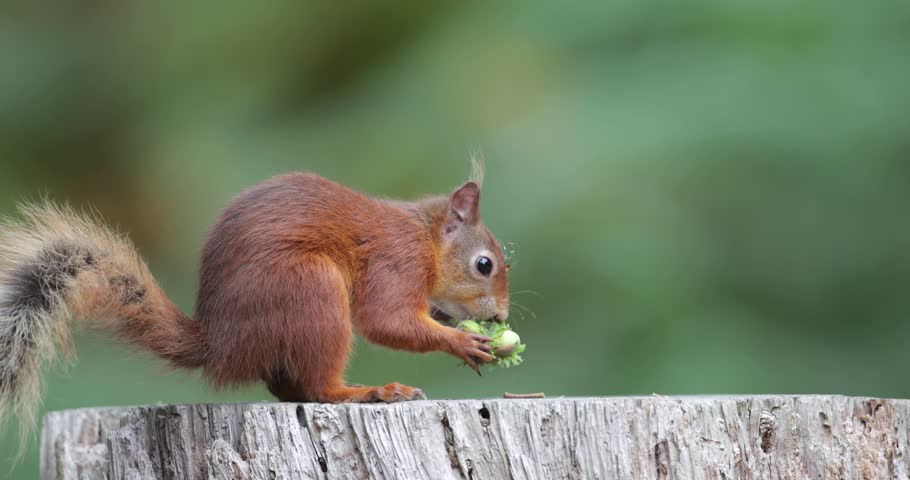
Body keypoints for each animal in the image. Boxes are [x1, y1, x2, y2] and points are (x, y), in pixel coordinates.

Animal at [0, 168, 510, 442]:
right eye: (484, 264)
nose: (500, 318)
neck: (424, 237)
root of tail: (220, 344)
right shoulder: (396, 261)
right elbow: (385, 320)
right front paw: (464, 342)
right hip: (312, 289)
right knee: (319, 390)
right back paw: (371, 392)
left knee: (289, 387)